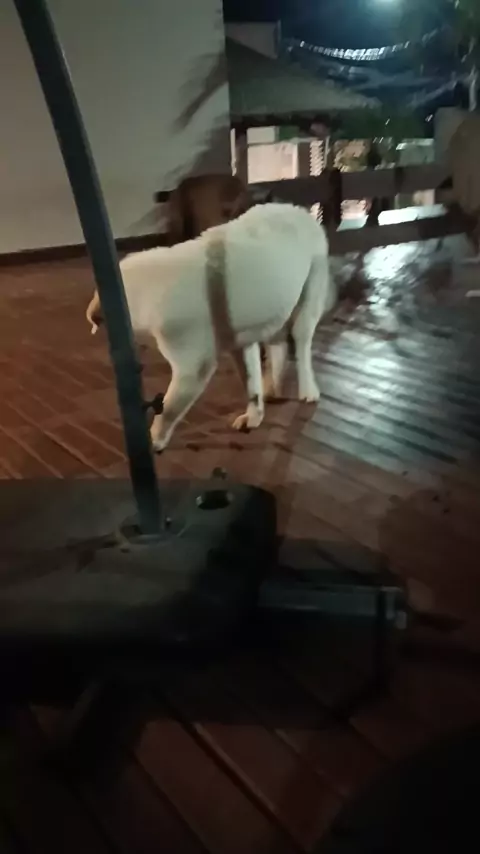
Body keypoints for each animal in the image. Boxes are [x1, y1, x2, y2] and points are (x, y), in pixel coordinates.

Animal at [86, 203, 335, 451]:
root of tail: (301, 212)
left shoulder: (192, 365)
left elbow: (168, 409)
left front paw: (153, 441)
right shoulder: (241, 343)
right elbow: (250, 382)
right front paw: (254, 416)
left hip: (309, 296)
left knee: (301, 344)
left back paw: (308, 391)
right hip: (277, 311)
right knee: (278, 345)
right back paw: (272, 387)